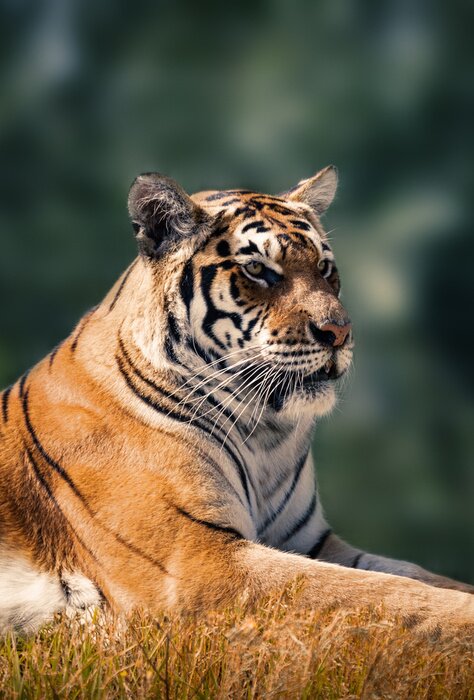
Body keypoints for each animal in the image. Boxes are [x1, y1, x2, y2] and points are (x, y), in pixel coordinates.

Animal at [0, 167, 473, 635]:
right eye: (259, 269)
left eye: (324, 267)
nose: (339, 332)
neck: (264, 434)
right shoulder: (198, 559)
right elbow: (381, 593)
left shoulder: (311, 541)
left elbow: (413, 573)